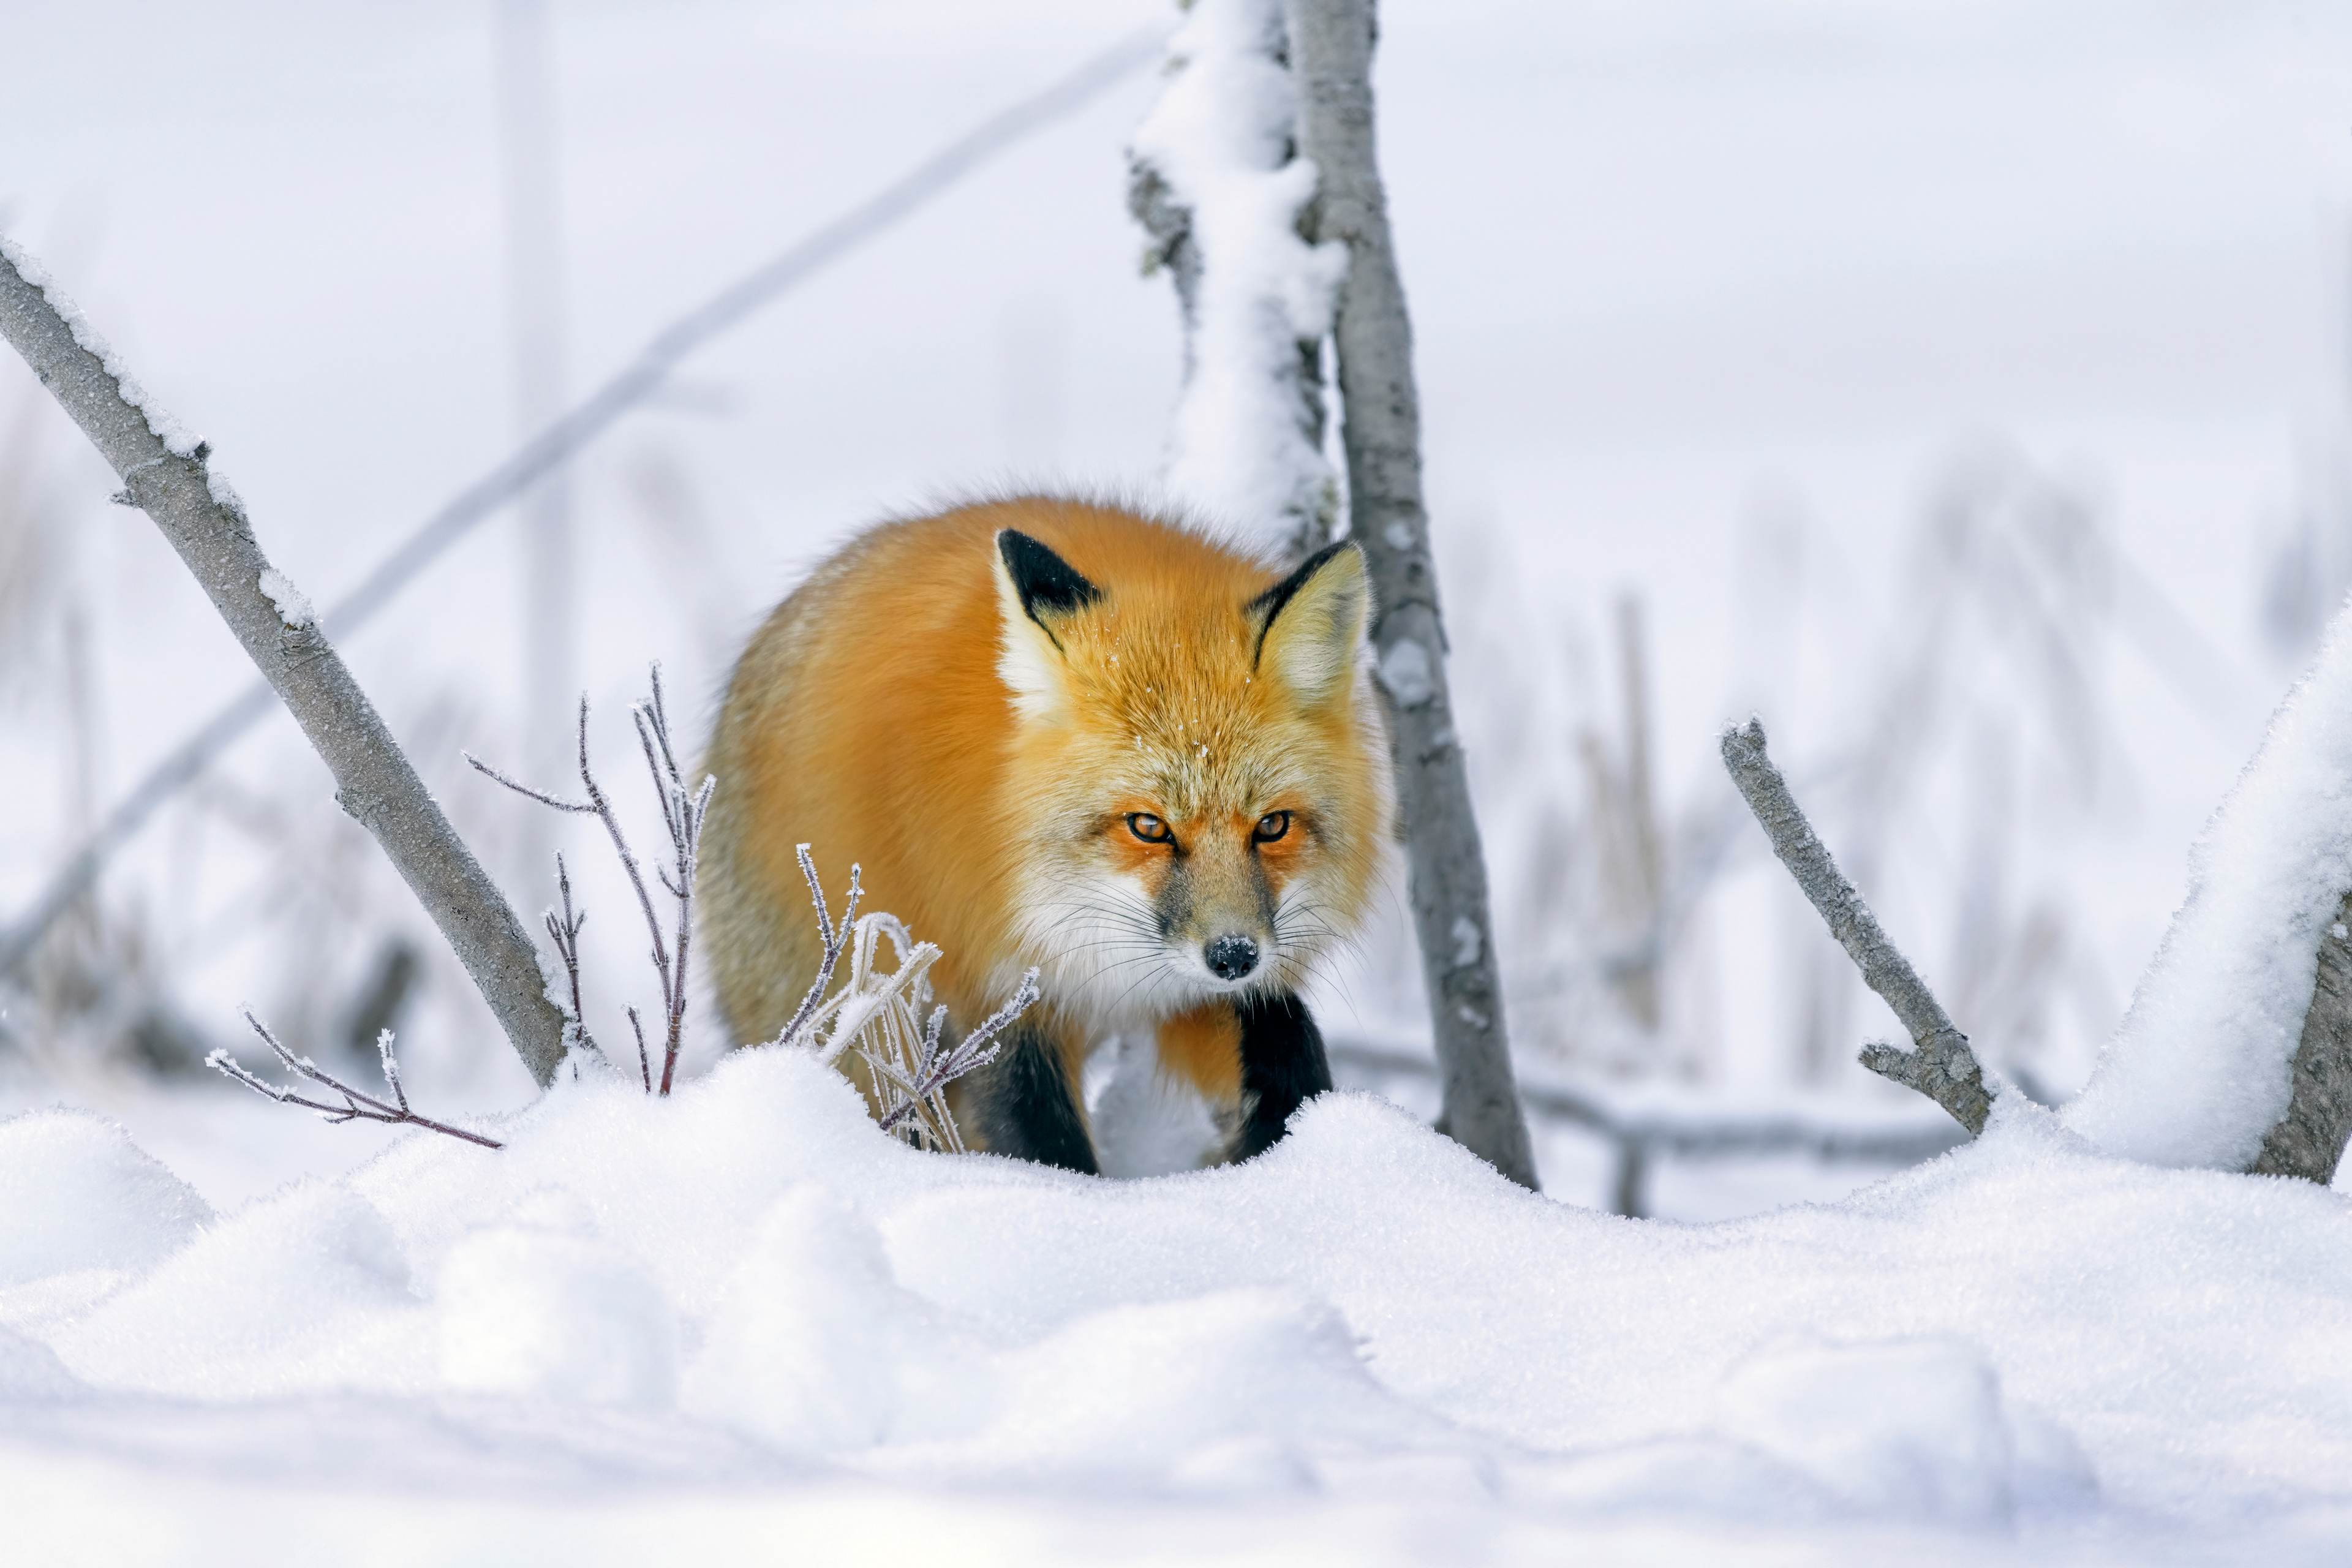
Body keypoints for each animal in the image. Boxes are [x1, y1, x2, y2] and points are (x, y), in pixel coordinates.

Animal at [698, 495, 1391, 1172]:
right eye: (1149, 827)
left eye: (1272, 826)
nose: (1234, 956)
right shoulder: (994, 983)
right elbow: (1047, 1147)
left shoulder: (1182, 991)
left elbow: (1288, 1042)